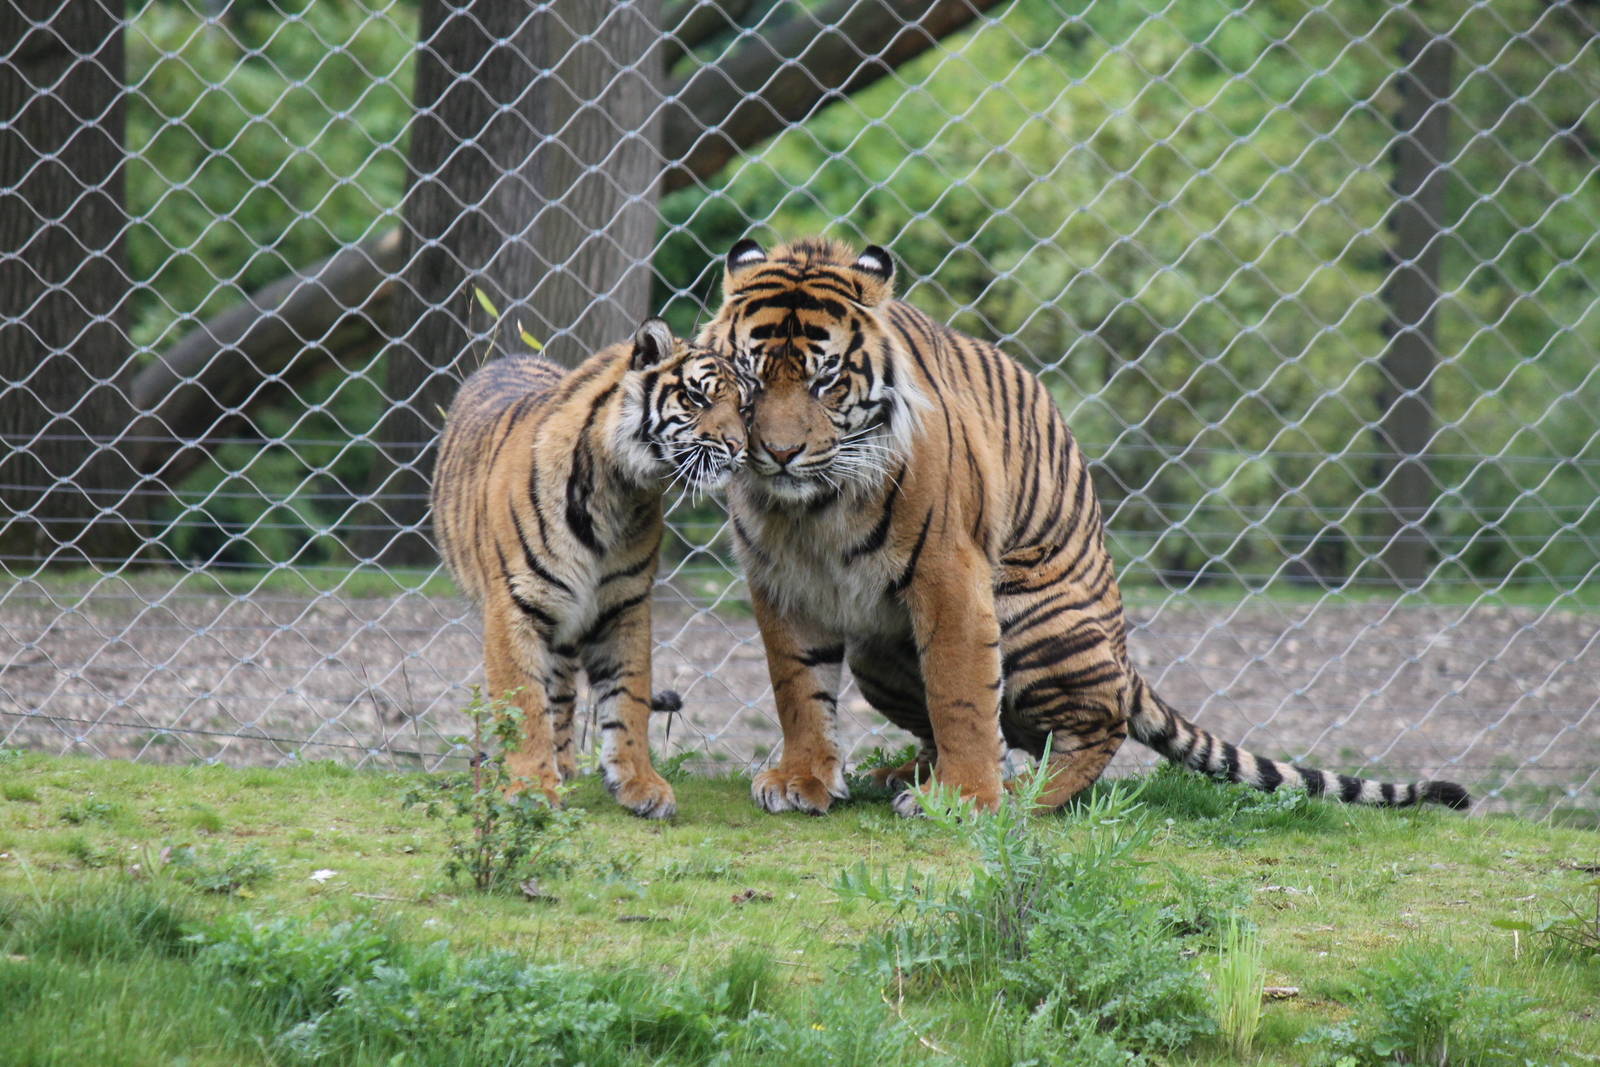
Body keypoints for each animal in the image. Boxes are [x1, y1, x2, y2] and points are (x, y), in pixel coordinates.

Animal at [431, 318, 746, 819]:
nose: (739, 447)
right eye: (697, 397)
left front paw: (639, 782)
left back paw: (565, 767)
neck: (616, 490)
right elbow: (523, 698)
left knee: (561, 692)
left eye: (744, 405)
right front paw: (530, 788)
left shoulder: (626, 603)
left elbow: (630, 696)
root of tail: (512, 357)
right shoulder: (514, 606)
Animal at [698, 236, 1470, 817]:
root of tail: (1124, 658)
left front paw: (961, 799)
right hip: (879, 654)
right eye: (752, 378)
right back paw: (907, 774)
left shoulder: (949, 575)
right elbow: (798, 689)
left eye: (826, 381)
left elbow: (959, 694)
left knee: (1095, 729)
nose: (779, 452)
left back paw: (1015, 794)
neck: (813, 510)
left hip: (1029, 615)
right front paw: (801, 780)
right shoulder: (780, 581)